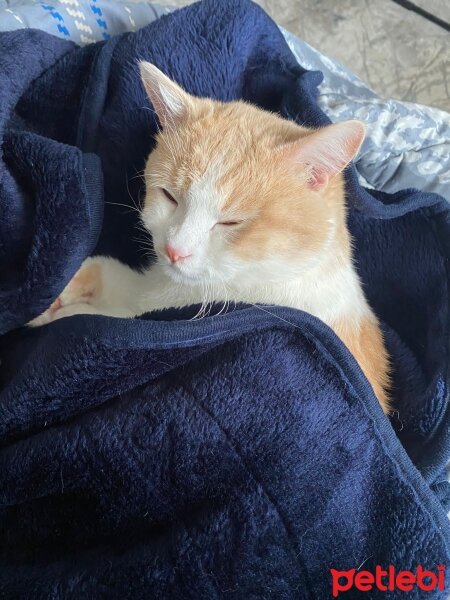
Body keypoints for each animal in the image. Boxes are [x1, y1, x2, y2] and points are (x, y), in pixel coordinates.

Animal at [31, 62, 390, 412]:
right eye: (169, 196)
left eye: (231, 222)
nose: (175, 250)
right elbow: (105, 272)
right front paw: (61, 291)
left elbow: (111, 321)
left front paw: (66, 314)